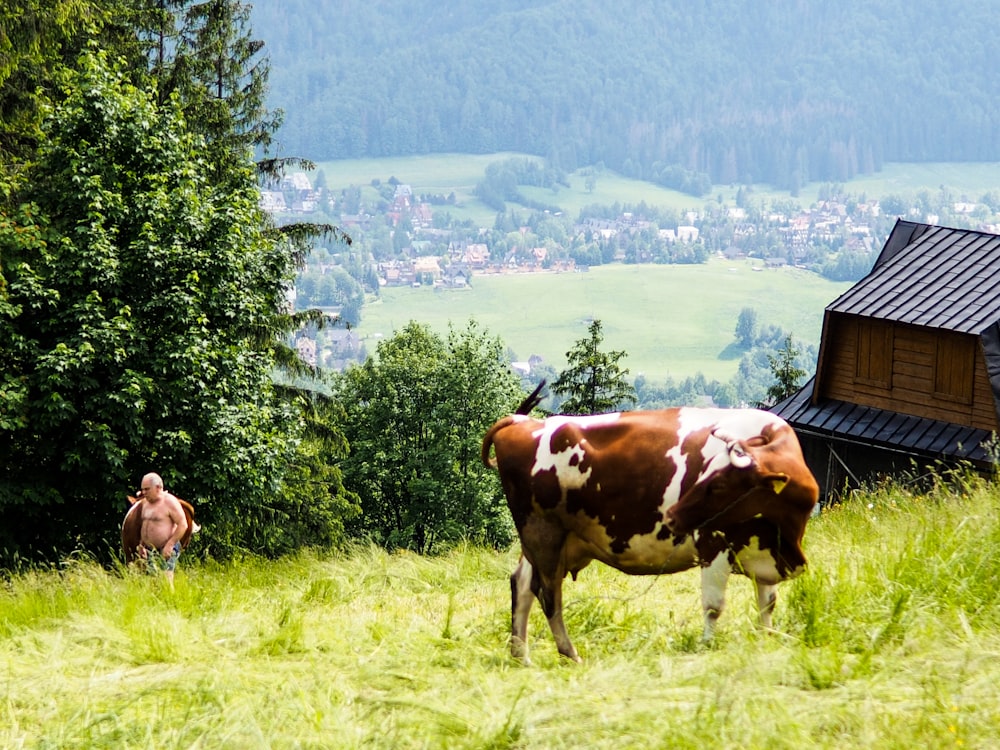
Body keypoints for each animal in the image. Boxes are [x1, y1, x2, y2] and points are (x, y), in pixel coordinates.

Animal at [482, 400, 820, 664]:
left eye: (719, 485)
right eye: (706, 475)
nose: (673, 515)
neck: (786, 540)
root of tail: (523, 422)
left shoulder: (764, 547)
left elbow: (767, 601)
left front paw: (766, 639)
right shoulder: (714, 542)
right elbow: (714, 606)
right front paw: (707, 645)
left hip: (546, 542)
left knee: (522, 583)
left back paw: (521, 655)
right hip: (543, 532)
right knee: (548, 593)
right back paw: (569, 652)